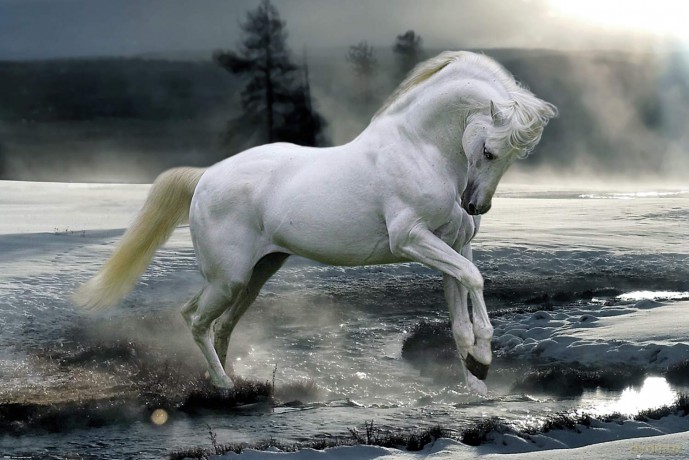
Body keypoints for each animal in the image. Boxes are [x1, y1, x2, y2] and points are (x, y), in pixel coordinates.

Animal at [74, 51, 557, 394]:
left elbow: (461, 312)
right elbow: (475, 279)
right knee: (195, 320)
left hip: (255, 275)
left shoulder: (452, 245)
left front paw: (475, 380)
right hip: (229, 279)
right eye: (490, 151)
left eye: (513, 158)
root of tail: (206, 177)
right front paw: (483, 362)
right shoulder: (411, 240)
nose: (475, 206)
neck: (420, 149)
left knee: (218, 323)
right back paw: (224, 384)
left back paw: (227, 382)